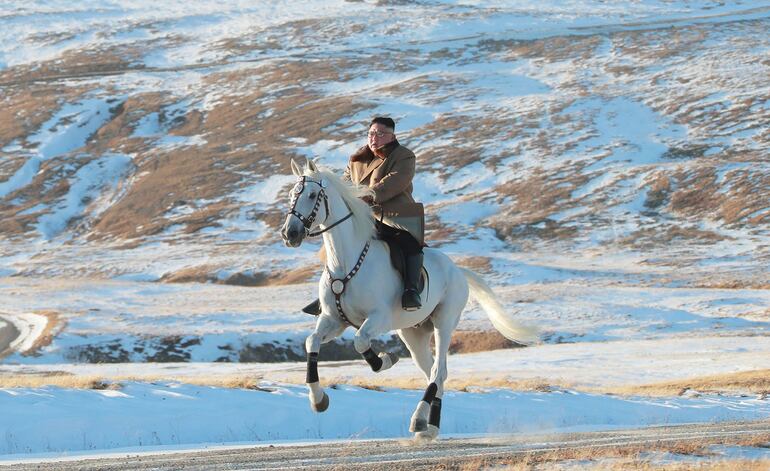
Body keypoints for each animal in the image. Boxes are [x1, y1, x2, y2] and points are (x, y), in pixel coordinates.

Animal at [280, 159, 538, 440]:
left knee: (438, 371)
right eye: (292, 195)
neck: (345, 262)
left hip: (443, 323)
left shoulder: (378, 318)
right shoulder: (333, 320)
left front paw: (385, 360)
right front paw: (318, 400)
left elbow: (360, 341)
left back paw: (418, 420)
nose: (290, 233)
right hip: (413, 334)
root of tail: (458, 270)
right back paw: (430, 426)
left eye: (312, 195)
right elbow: (311, 342)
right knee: (435, 374)